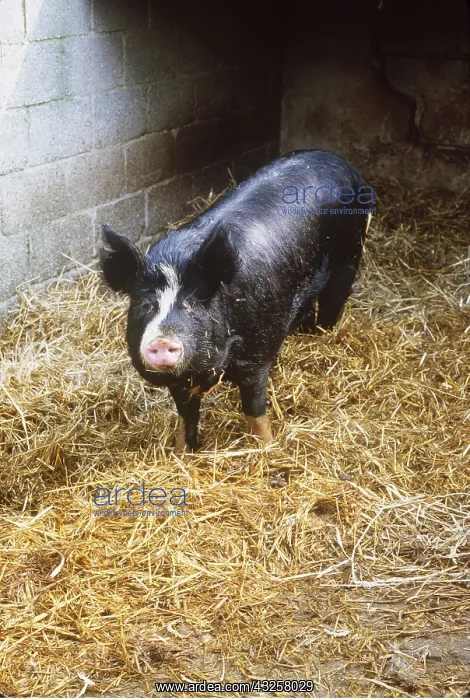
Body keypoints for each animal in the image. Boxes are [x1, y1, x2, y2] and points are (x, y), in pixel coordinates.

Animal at [100, 149, 370, 452]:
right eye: (145, 305)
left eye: (194, 303)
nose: (161, 341)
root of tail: (338, 160)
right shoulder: (181, 383)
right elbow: (186, 417)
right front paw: (182, 452)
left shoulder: (257, 356)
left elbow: (254, 410)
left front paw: (267, 448)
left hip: (350, 254)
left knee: (333, 303)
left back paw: (321, 335)